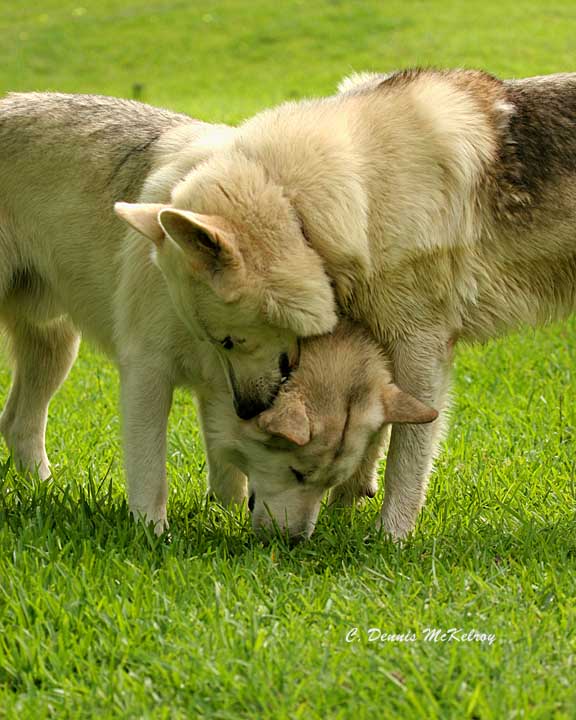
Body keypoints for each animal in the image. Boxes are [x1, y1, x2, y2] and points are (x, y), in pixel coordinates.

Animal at [118, 69, 576, 536]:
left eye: (229, 341)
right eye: (213, 342)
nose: (246, 409)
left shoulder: (421, 349)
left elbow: (406, 459)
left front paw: (391, 536)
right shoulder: (379, 344)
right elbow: (376, 427)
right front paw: (349, 499)